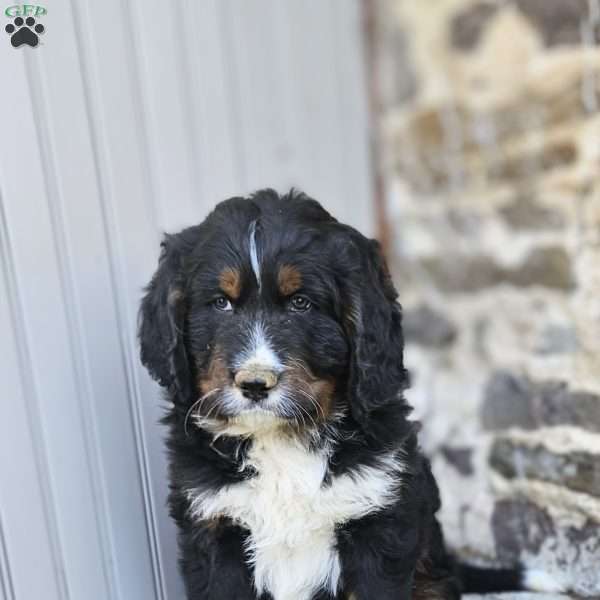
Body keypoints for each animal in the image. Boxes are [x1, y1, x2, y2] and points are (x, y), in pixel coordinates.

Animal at [139, 189, 548, 600]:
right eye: (221, 303)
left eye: (300, 303)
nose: (255, 383)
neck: (281, 443)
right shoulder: (214, 528)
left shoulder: (377, 523)